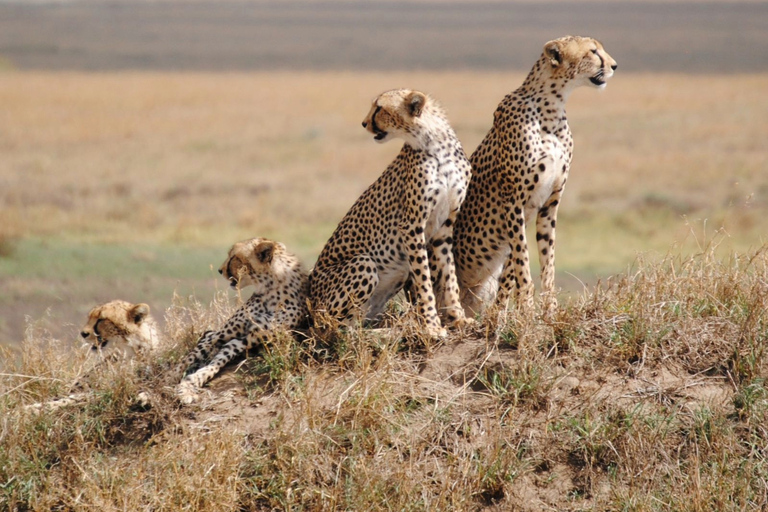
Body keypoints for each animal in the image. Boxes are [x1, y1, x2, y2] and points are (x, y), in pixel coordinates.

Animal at [177, 237, 308, 404]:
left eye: (233, 257)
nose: (220, 270)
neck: (270, 287)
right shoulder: (226, 333)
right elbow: (187, 359)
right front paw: (171, 380)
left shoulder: (249, 338)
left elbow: (218, 360)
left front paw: (193, 381)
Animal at [308, 88, 472, 338]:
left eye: (379, 108)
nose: (364, 123)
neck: (435, 144)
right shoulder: (412, 225)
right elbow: (424, 281)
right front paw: (432, 326)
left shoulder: (444, 227)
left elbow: (449, 275)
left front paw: (458, 318)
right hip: (363, 263)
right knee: (335, 330)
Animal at [456, 35, 616, 316]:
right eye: (593, 51)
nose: (614, 66)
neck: (552, 107)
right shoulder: (513, 201)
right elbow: (522, 259)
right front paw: (527, 308)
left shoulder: (549, 204)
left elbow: (542, 261)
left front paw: (546, 308)